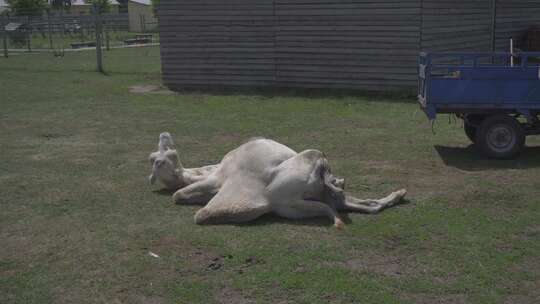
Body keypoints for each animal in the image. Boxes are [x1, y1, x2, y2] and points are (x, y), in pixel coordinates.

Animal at [148, 133, 404, 228]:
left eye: (159, 159)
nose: (164, 136)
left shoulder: (218, 178)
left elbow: (178, 194)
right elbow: (181, 193)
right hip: (295, 206)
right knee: (361, 204)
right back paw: (400, 194)